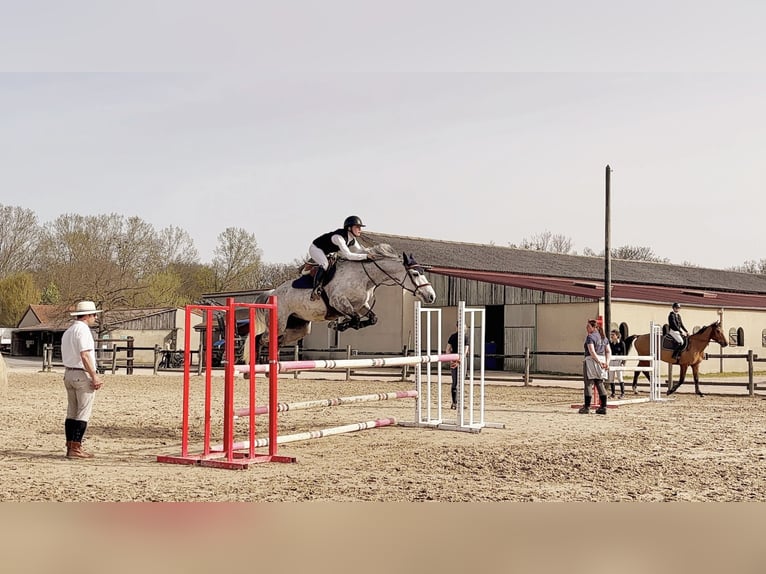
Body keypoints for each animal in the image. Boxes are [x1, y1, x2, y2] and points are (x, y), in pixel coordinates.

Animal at [242, 243, 436, 360]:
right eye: (415, 274)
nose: (431, 296)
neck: (365, 277)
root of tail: (273, 292)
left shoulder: (361, 306)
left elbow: (372, 319)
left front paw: (342, 326)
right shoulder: (338, 301)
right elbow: (354, 318)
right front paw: (338, 325)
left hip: (299, 328)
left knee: (277, 340)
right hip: (280, 322)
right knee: (260, 338)